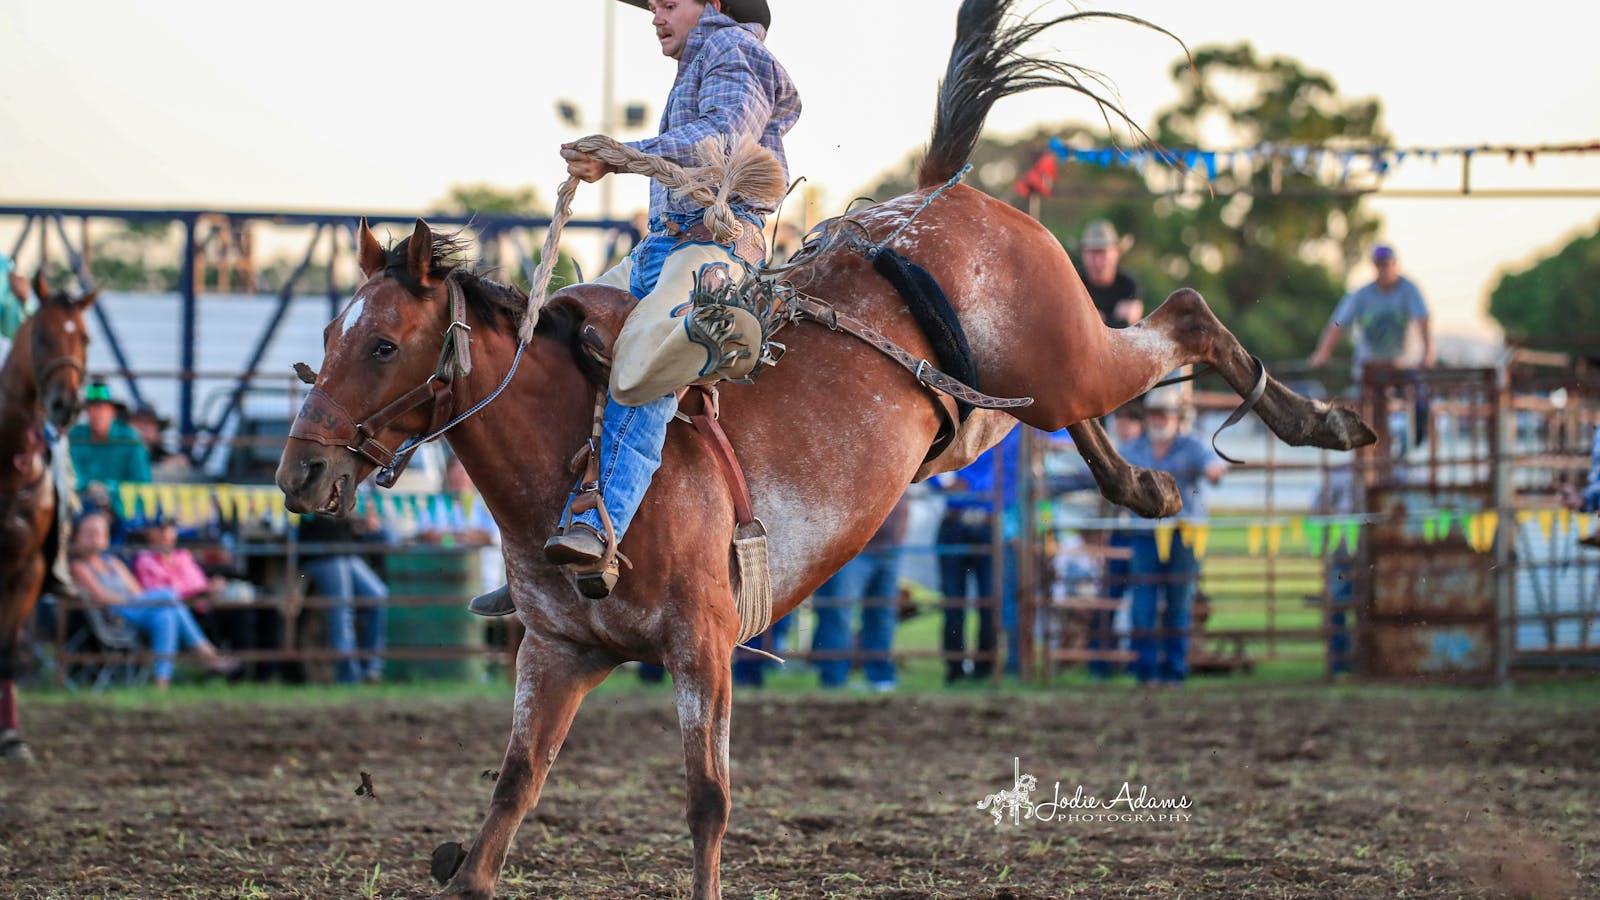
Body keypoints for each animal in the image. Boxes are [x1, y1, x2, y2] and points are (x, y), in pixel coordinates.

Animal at [275, 3, 1376, 890]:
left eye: (382, 343)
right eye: (325, 337)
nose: (299, 471)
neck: (565, 459)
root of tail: (939, 193)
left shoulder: (703, 641)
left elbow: (706, 800)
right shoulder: (556, 651)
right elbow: (514, 785)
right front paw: (465, 871)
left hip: (1065, 354)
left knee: (1181, 314)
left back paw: (1318, 421)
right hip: (984, 410)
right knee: (1074, 409)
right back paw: (1146, 485)